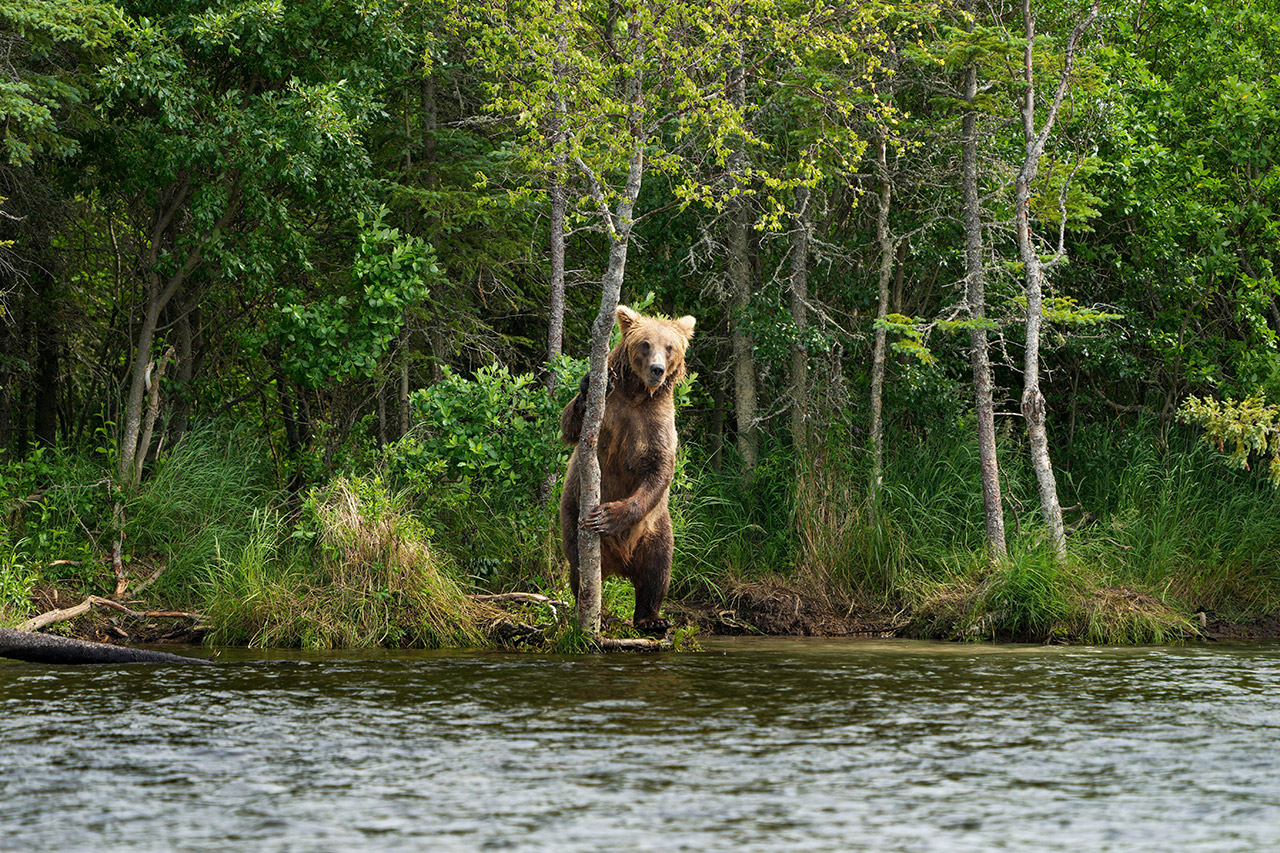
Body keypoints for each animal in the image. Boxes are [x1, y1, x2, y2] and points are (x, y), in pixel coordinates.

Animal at [563, 302, 701, 627]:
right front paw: (589, 384)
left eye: (670, 346)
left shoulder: (657, 425)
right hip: (572, 512)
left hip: (656, 529)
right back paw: (593, 612)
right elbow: (569, 425)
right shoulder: (613, 411)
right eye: (645, 343)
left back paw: (652, 618)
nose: (657, 369)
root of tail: (620, 564)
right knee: (579, 567)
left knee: (657, 570)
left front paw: (608, 516)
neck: (638, 394)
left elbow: (659, 470)